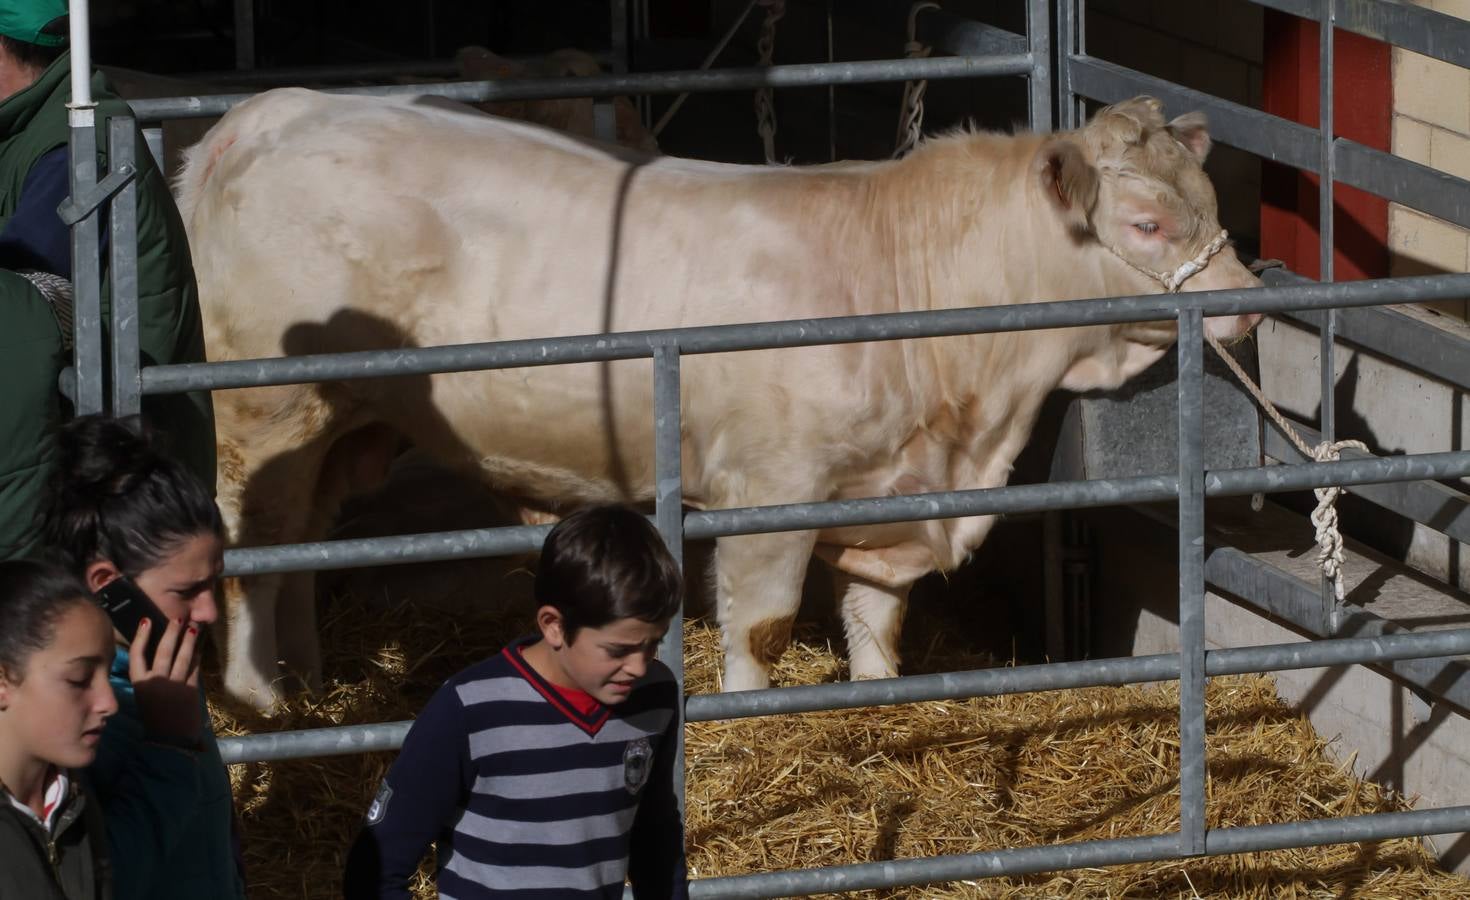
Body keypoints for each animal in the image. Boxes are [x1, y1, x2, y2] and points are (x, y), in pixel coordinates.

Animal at [180, 93, 1264, 708]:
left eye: (1212, 199)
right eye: (1146, 221)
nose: (1250, 305)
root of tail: (270, 113)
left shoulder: (894, 491)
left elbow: (878, 624)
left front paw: (876, 707)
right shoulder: (770, 492)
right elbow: (764, 631)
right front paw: (750, 723)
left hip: (339, 424)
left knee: (298, 546)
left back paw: (306, 685)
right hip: (262, 417)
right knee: (247, 551)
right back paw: (259, 702)